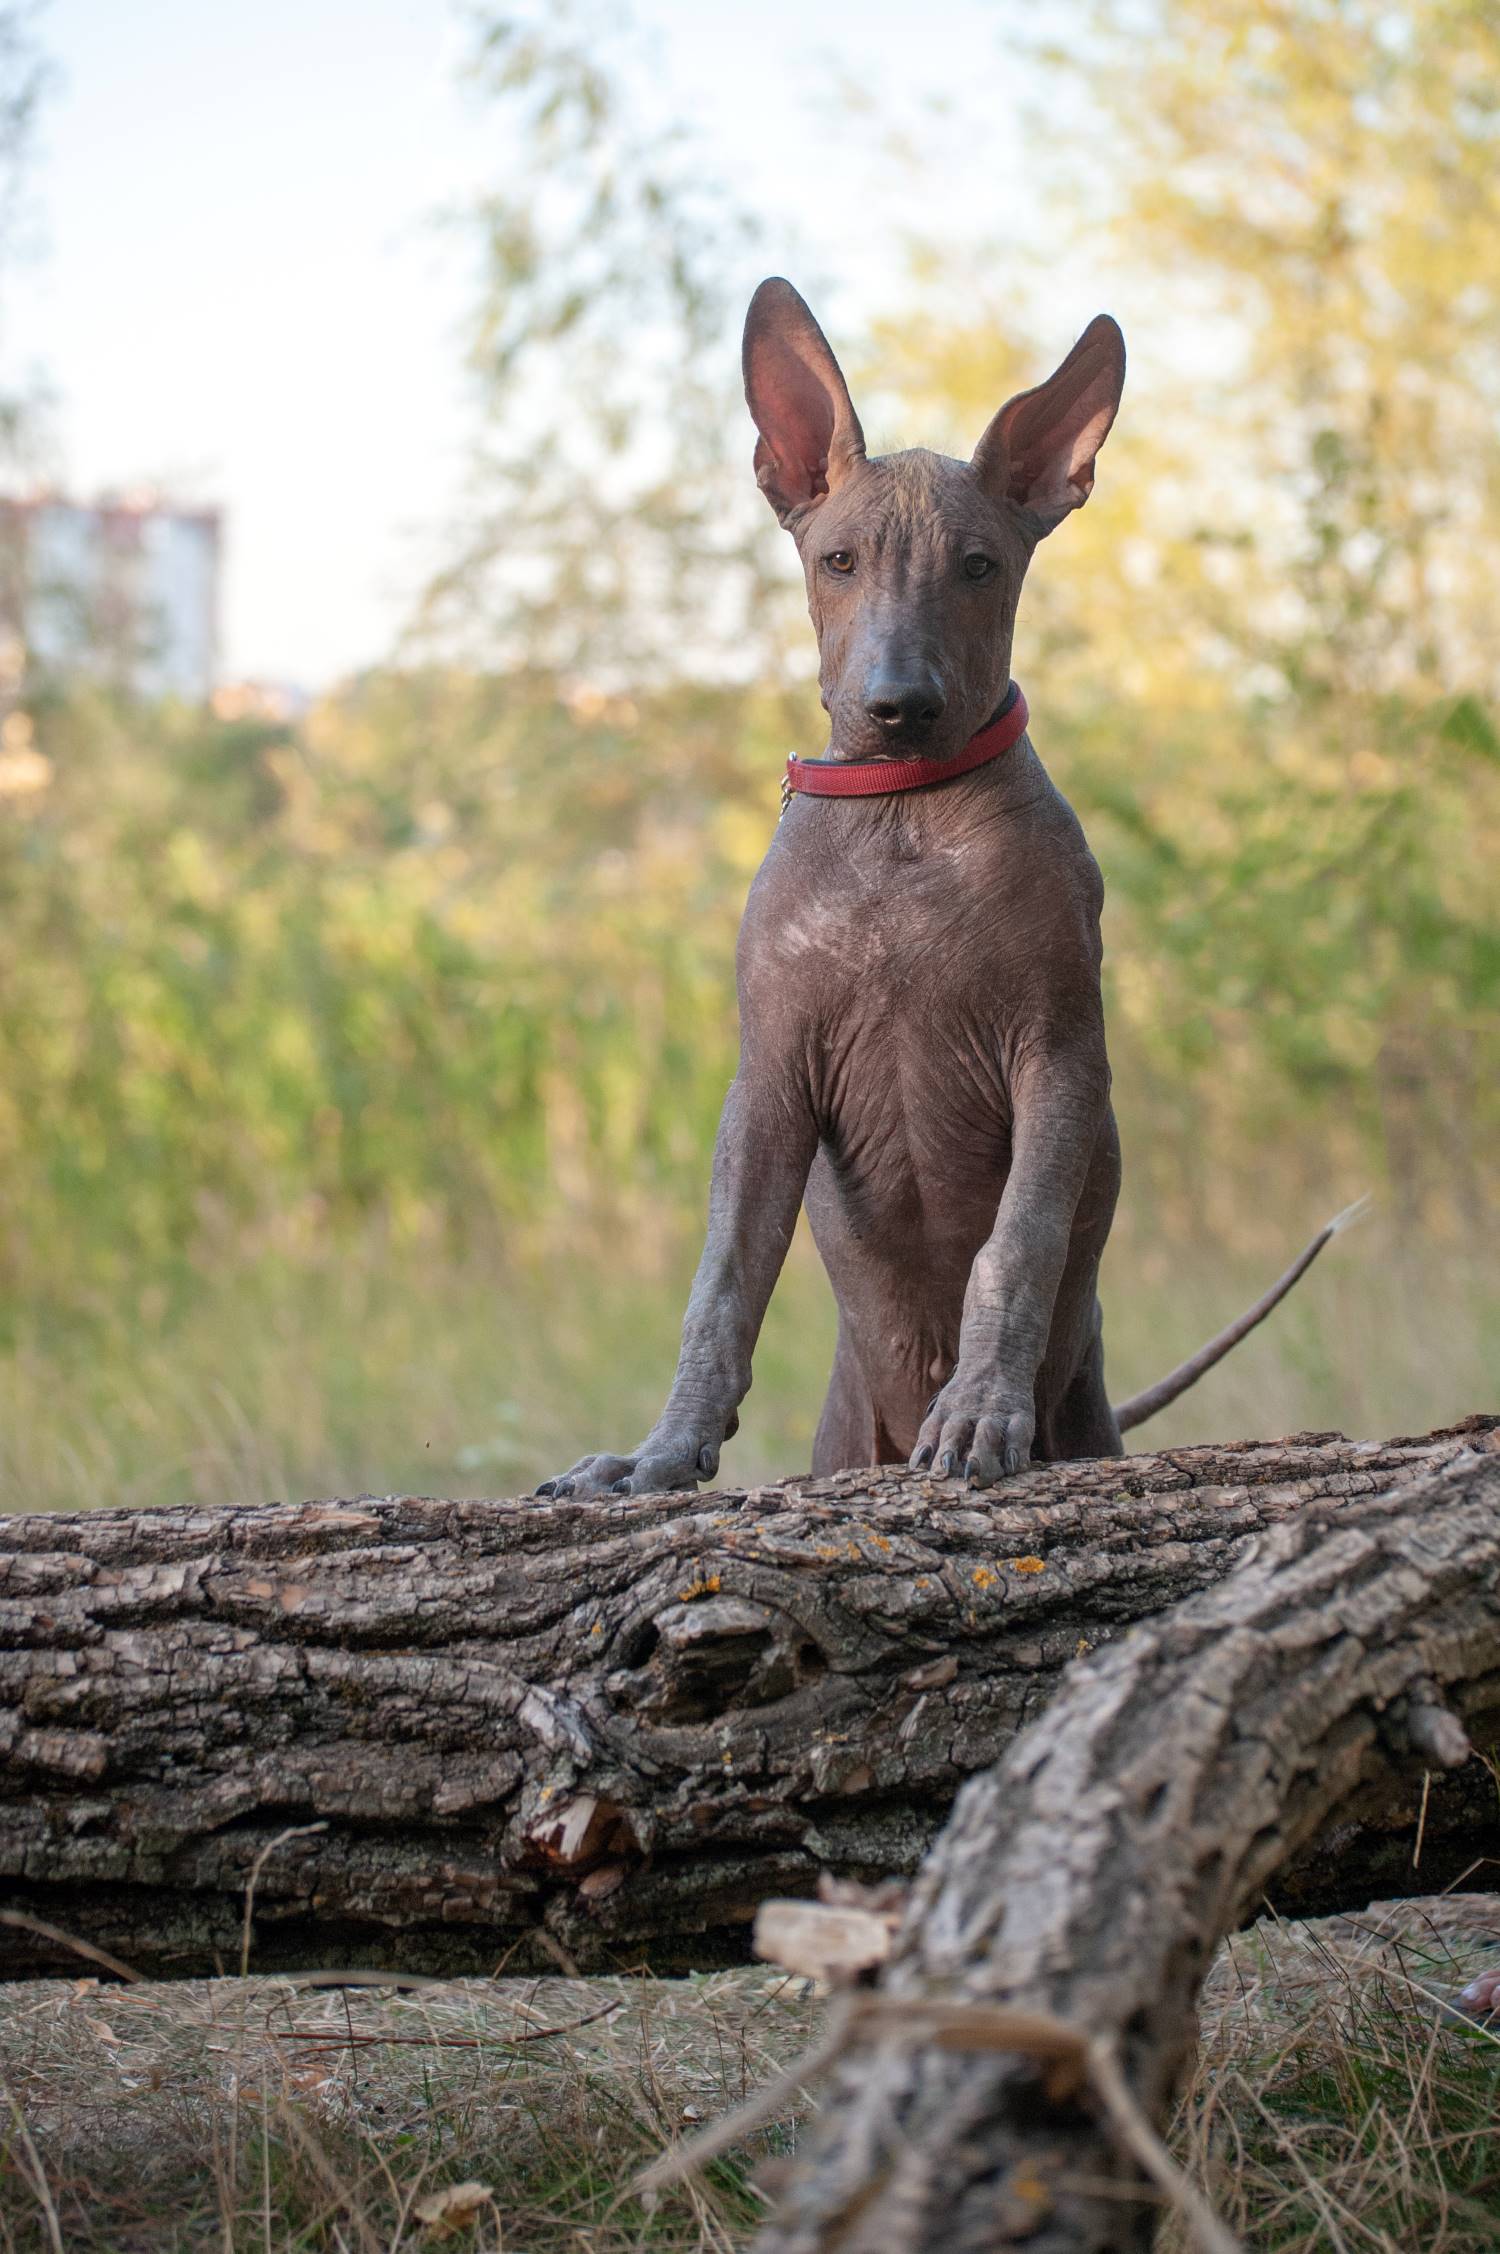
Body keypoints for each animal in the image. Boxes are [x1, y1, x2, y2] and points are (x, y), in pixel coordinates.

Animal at [541, 281, 1353, 1505]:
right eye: (838, 560)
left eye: (977, 566)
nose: (898, 705)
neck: (903, 815)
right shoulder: (768, 1077)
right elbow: (721, 1284)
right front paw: (661, 1451)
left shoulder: (1059, 1058)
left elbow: (1014, 1247)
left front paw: (978, 1412)